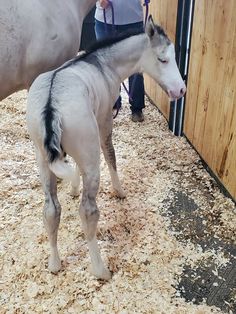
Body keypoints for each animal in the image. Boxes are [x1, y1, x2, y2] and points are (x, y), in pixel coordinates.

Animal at [26, 15, 185, 280]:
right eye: (163, 59)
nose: (181, 90)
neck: (102, 63)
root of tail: (51, 107)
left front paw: (73, 189)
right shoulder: (104, 121)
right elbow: (111, 154)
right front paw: (119, 191)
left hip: (42, 157)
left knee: (51, 209)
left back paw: (55, 263)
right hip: (90, 158)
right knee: (88, 211)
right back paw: (100, 269)